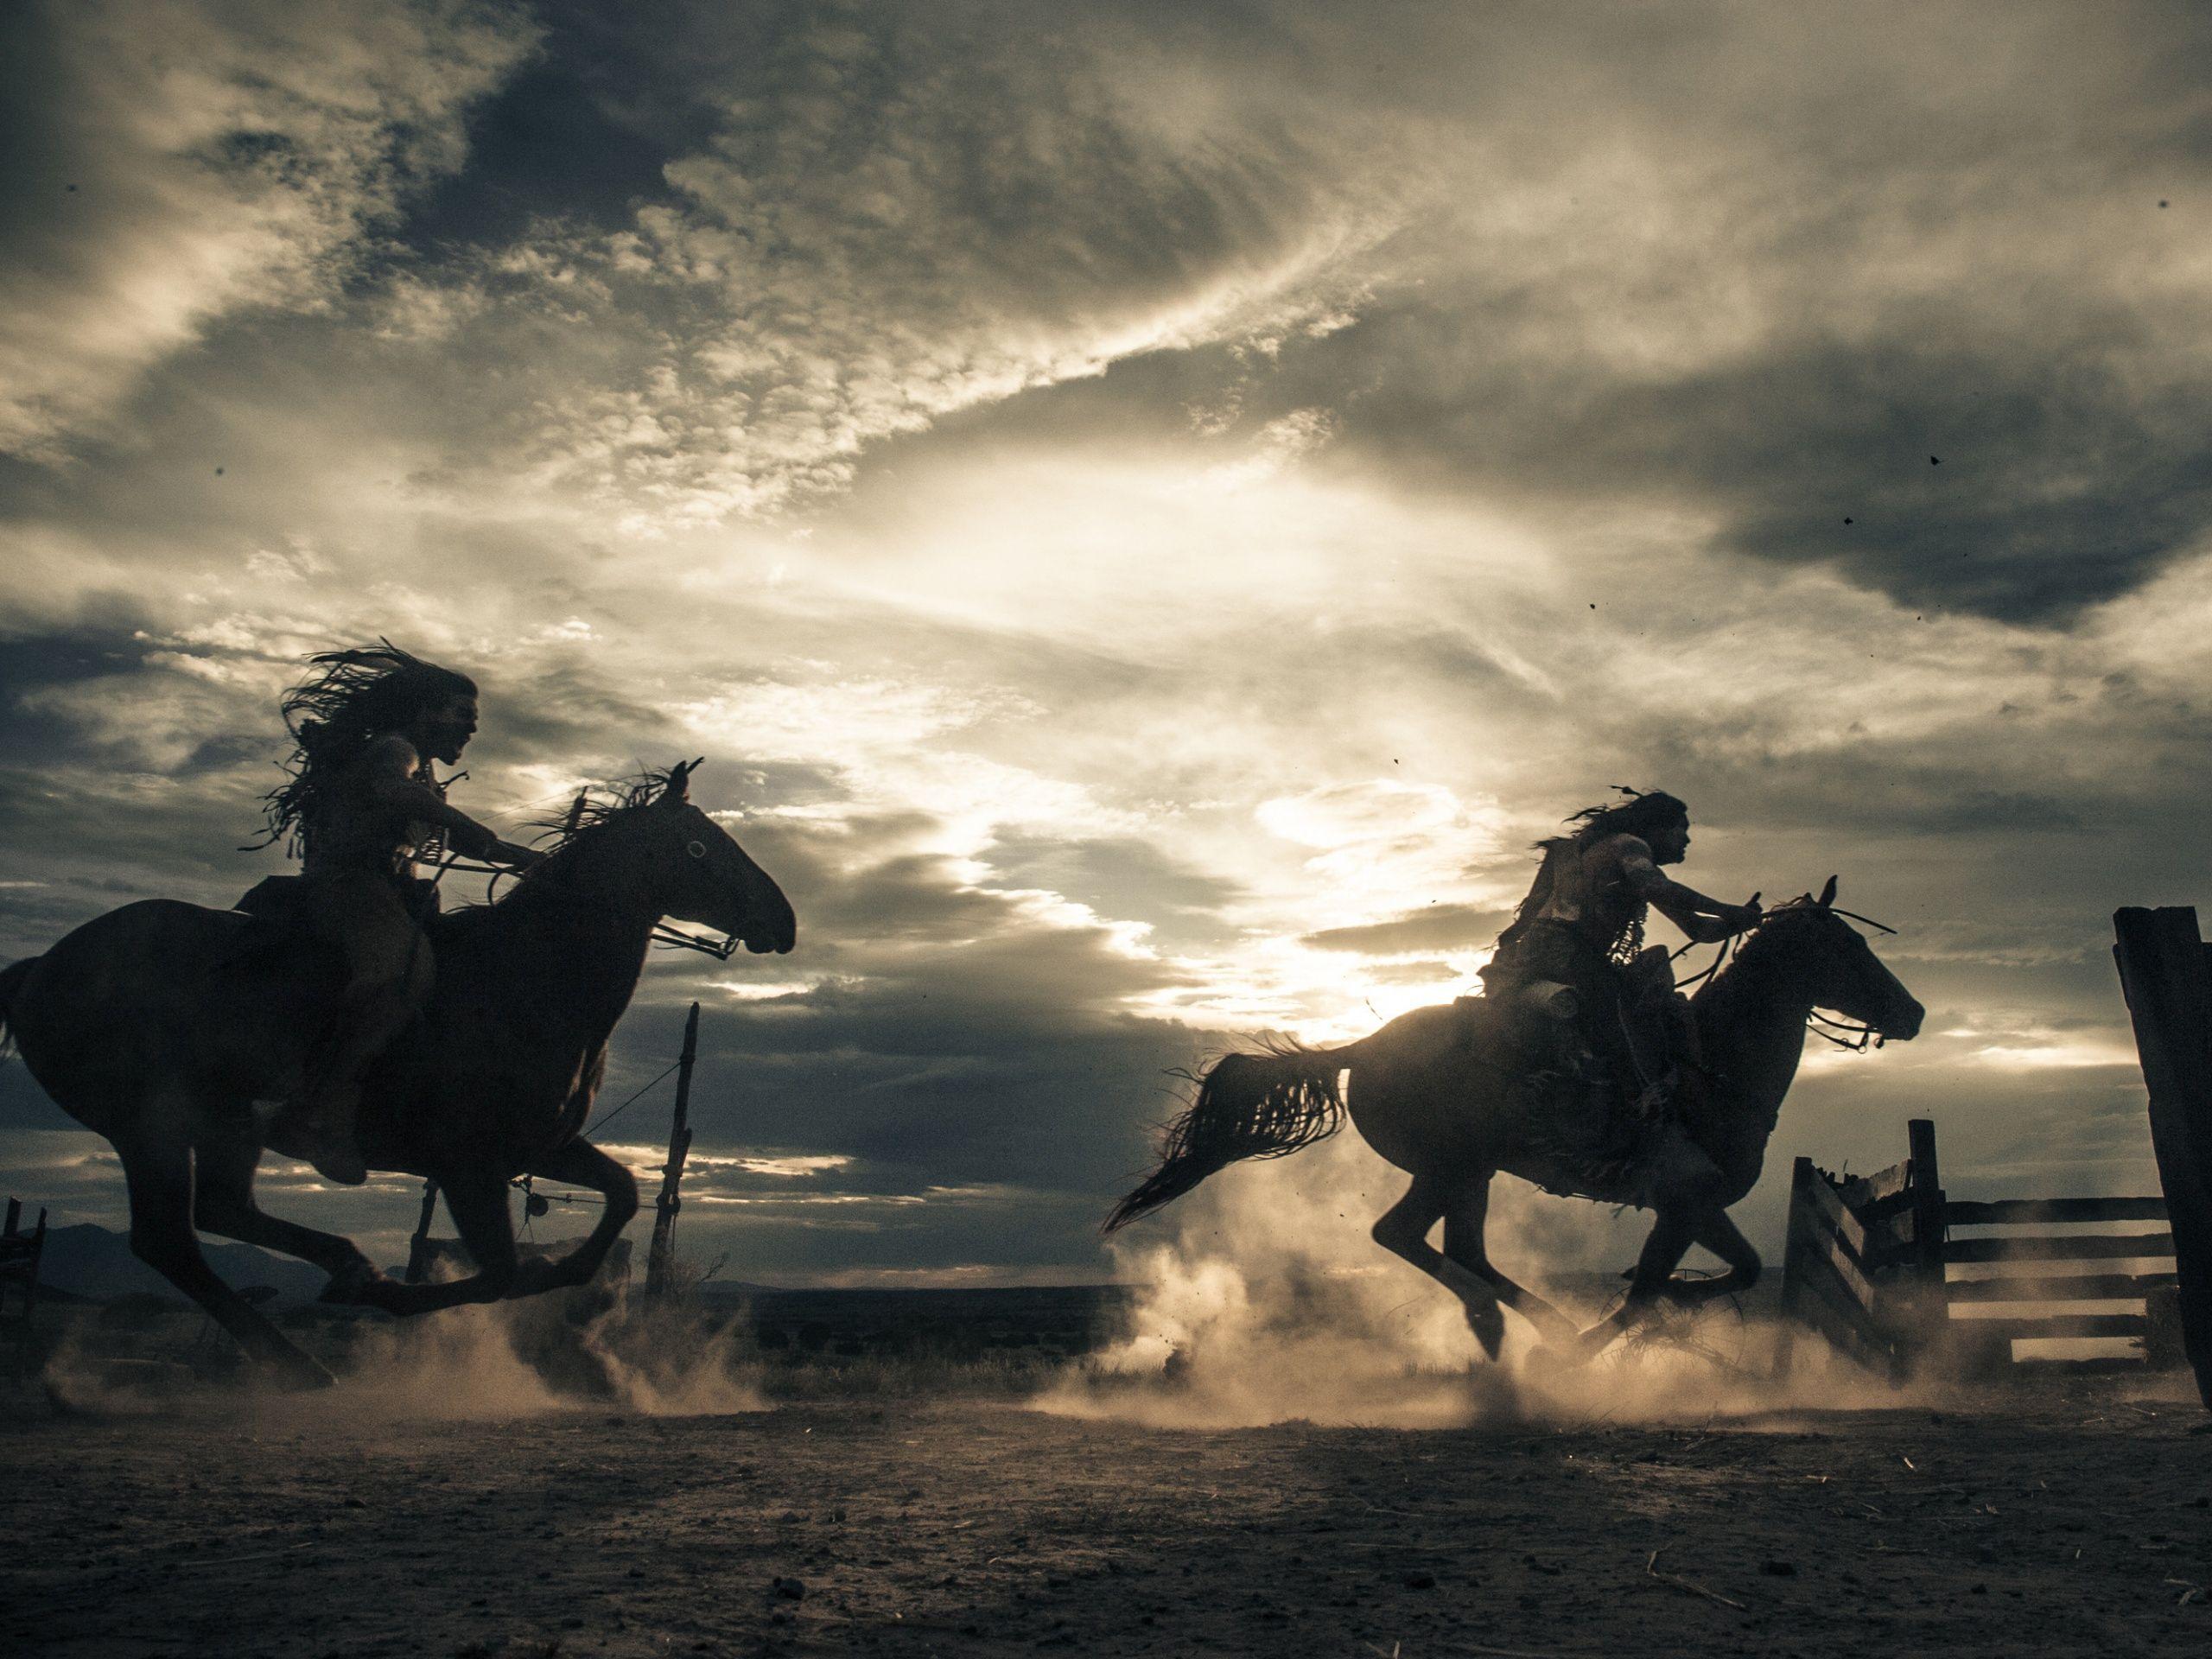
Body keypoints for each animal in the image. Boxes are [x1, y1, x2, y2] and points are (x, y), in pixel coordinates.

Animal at [0, 765, 796, 1389]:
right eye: (701, 844)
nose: (784, 920)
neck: (522, 980)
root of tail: (40, 968)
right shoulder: (466, 1165)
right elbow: (502, 1273)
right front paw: (408, 1297)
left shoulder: (542, 1148)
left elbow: (623, 1195)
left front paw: (580, 1297)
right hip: (151, 1127)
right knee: (172, 1240)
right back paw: (320, 1331)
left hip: (222, 1126)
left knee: (214, 1218)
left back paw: (323, 1315)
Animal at [1115, 889, 1929, 1353]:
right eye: (1849, 946)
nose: (1914, 1013)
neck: (1712, 1066)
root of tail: (1363, 1049)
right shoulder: (1681, 1203)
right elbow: (1648, 1289)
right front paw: (1606, 1337)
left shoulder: (1697, 1206)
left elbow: (1740, 1268)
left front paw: (1664, 1309)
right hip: (1455, 1166)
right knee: (1413, 1238)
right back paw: (1521, 1327)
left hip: (1464, 1174)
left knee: (1449, 1246)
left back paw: (1515, 1324)